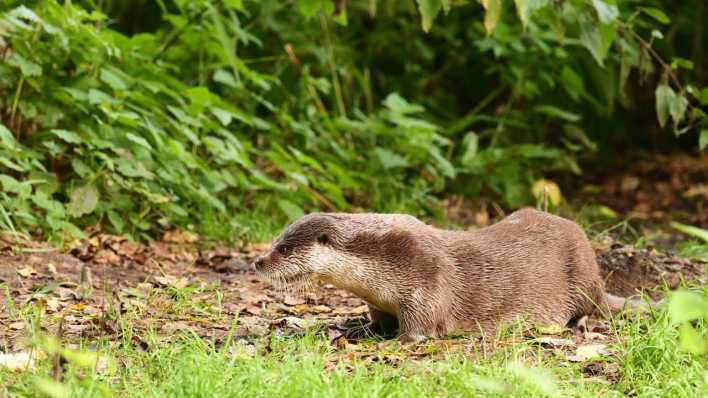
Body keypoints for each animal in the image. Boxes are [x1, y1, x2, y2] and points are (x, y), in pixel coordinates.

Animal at [254, 208, 608, 342]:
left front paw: (398, 341)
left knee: (594, 305)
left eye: (284, 249)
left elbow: (419, 329)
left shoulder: (426, 280)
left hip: (583, 275)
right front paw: (359, 329)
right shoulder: (379, 302)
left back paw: (580, 322)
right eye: (274, 240)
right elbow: (379, 320)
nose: (258, 262)